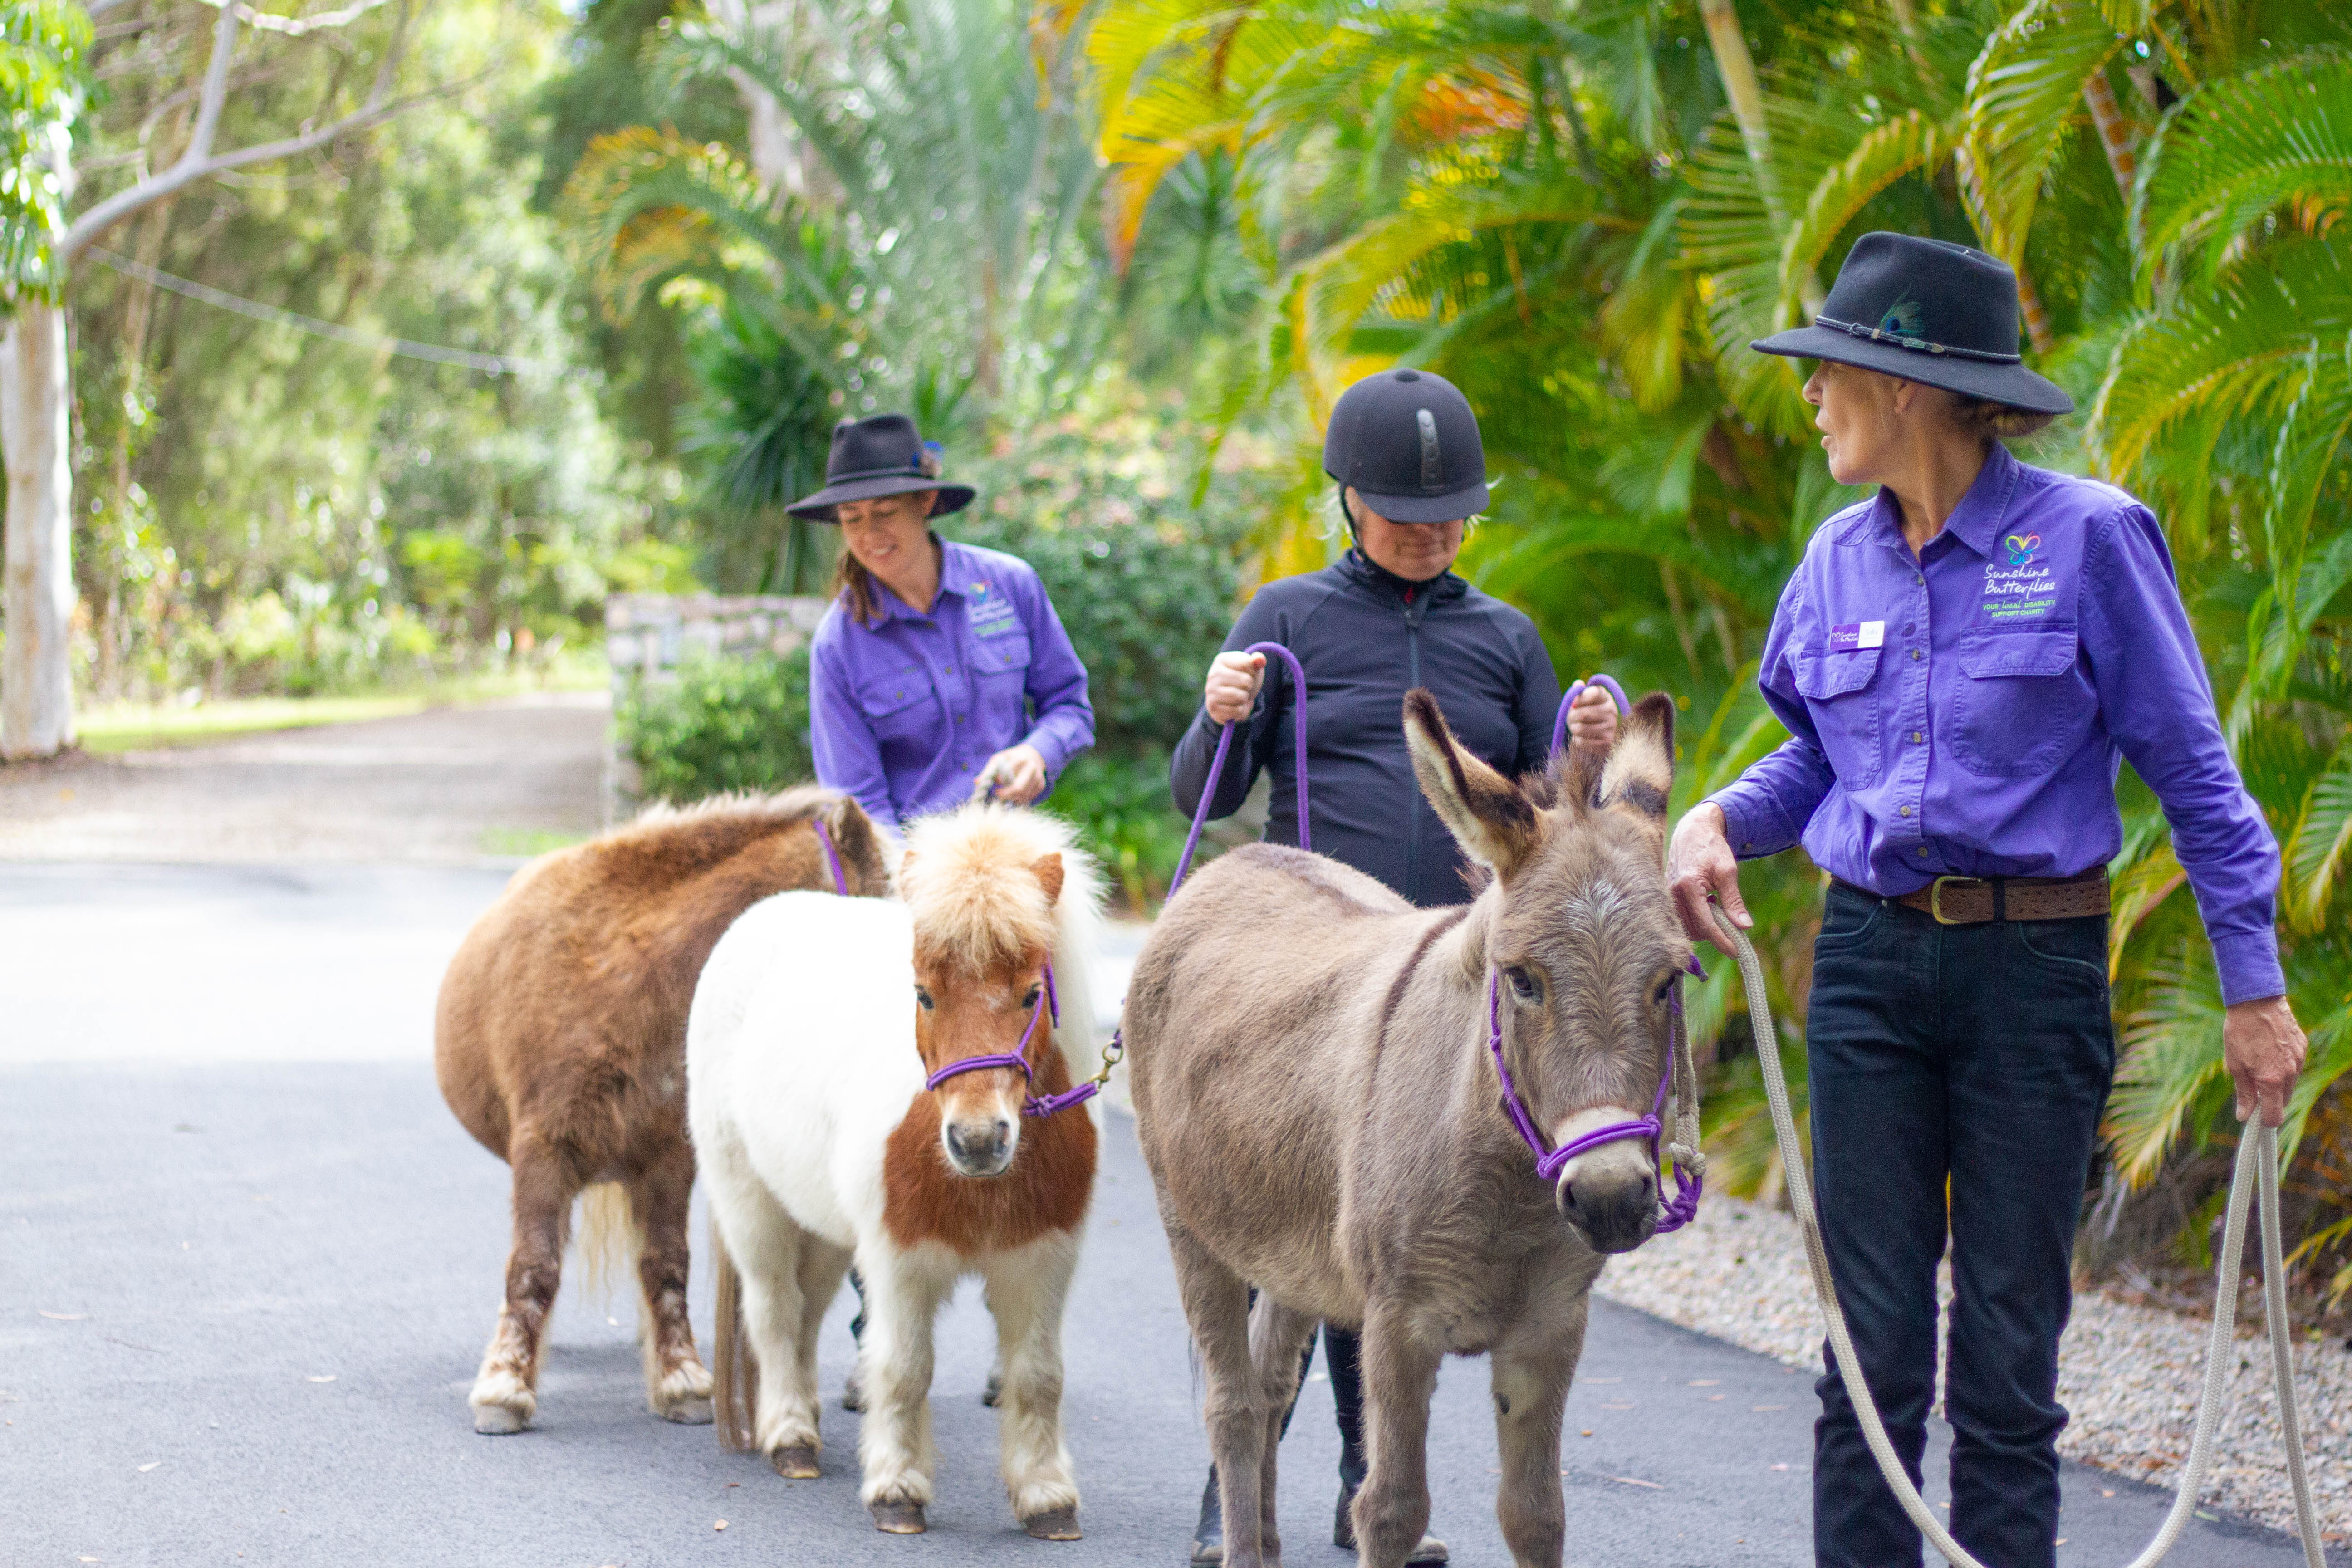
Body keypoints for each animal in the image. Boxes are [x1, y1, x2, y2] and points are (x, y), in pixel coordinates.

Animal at [435, 785, 889, 1439]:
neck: (619, 979)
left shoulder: (668, 1162)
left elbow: (666, 1264)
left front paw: (680, 1379)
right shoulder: (543, 1151)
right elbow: (534, 1265)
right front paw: (506, 1387)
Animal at [686, 804, 1105, 1542]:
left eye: (1032, 994)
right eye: (924, 994)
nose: (977, 1141)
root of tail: (761, 917)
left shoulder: (1042, 1260)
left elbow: (1038, 1375)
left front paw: (1047, 1498)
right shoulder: (899, 1262)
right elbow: (905, 1369)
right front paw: (898, 1491)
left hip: (823, 1230)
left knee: (806, 1312)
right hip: (753, 1209)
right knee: (773, 1311)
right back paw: (789, 1436)